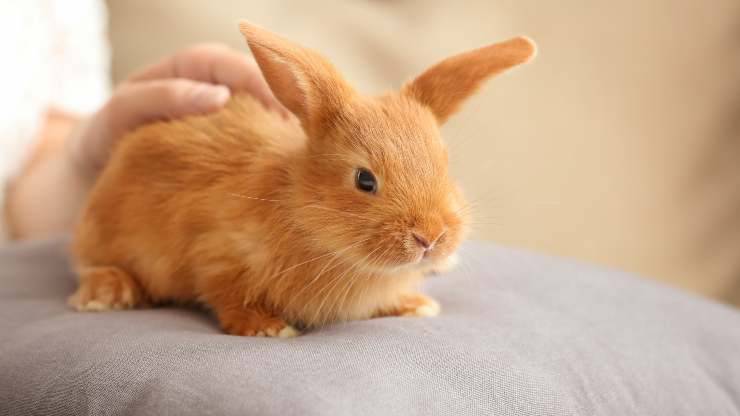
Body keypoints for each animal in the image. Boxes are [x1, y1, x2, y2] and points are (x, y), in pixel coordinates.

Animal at [69, 21, 536, 337]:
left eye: (445, 163)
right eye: (365, 180)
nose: (432, 236)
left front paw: (416, 305)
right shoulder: (215, 255)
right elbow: (227, 297)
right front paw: (267, 328)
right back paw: (105, 295)